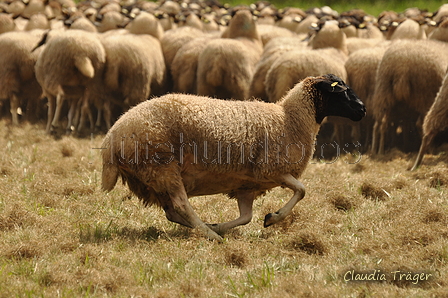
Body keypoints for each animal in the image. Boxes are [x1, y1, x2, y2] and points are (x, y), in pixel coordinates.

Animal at [102, 73, 368, 241]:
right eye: (342, 91)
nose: (363, 109)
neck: (288, 119)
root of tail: (112, 137)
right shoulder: (272, 169)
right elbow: (302, 190)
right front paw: (273, 218)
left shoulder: (248, 186)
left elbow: (245, 217)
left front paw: (224, 225)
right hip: (162, 167)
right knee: (181, 205)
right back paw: (210, 235)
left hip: (153, 177)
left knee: (172, 211)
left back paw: (206, 229)